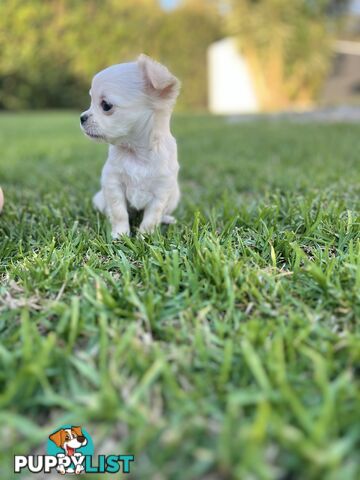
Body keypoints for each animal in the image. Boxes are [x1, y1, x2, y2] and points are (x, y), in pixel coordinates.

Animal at [79, 53, 179, 237]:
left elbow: (152, 216)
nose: (82, 117)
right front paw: (120, 234)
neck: (136, 152)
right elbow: (119, 212)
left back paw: (168, 219)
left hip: (174, 196)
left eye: (106, 105)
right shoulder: (113, 184)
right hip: (99, 198)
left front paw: (145, 236)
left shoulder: (161, 192)